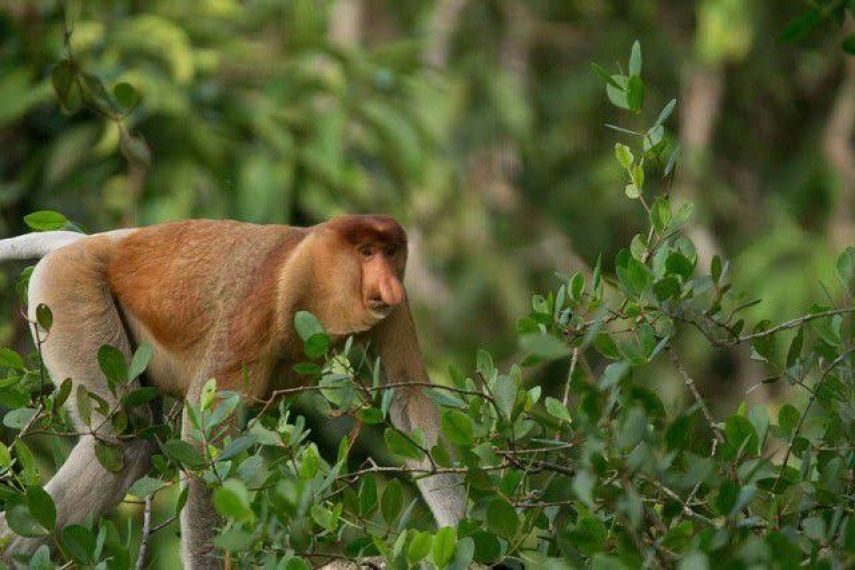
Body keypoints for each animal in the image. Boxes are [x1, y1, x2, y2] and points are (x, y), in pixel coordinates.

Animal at [0, 215, 468, 564]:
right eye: (366, 252)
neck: (311, 272)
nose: (388, 283)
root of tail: (105, 243)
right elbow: (204, 439)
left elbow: (411, 404)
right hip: (70, 292)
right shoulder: (257, 305)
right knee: (123, 435)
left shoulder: (394, 312)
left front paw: (464, 538)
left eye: (390, 253)